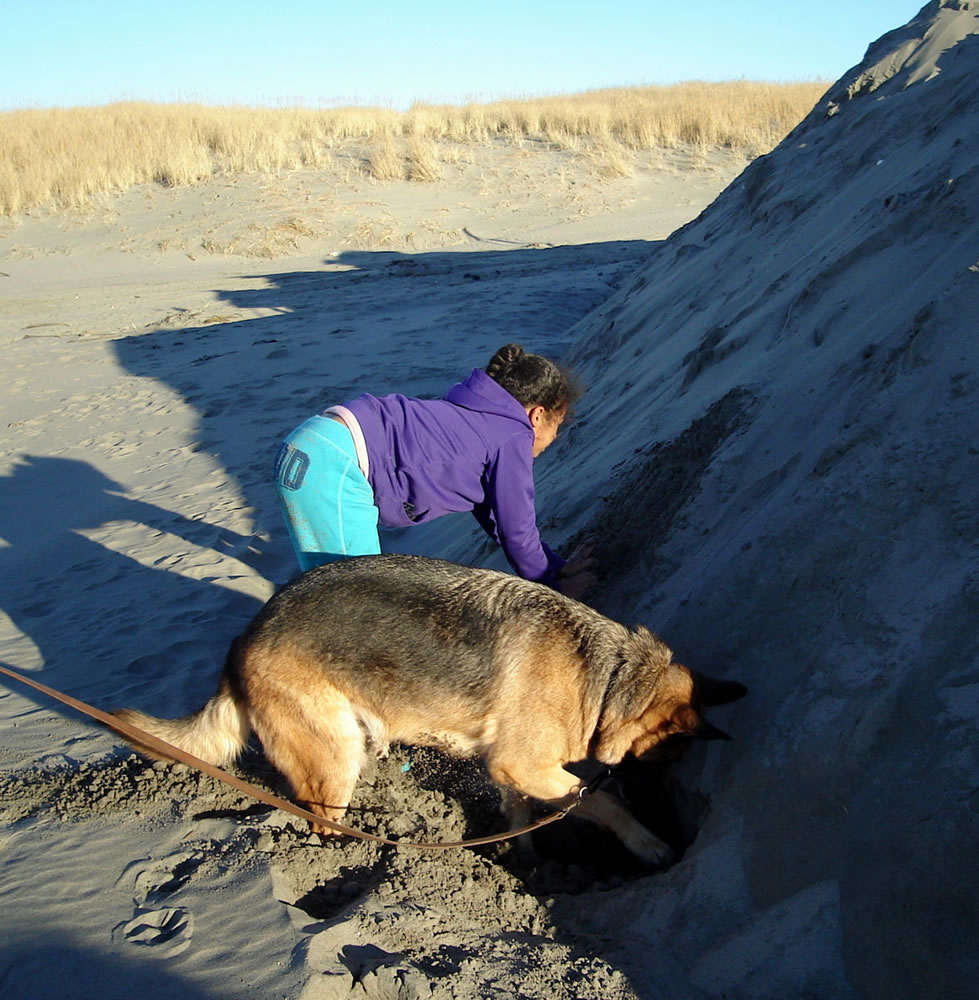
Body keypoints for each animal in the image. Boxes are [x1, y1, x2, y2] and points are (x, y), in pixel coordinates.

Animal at [113, 552, 744, 864]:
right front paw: (647, 841)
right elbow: (602, 802)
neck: (610, 678)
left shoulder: (509, 769)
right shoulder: (531, 765)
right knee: (322, 825)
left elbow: (519, 813)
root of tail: (244, 638)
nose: (669, 807)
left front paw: (522, 854)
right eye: (662, 760)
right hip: (335, 760)